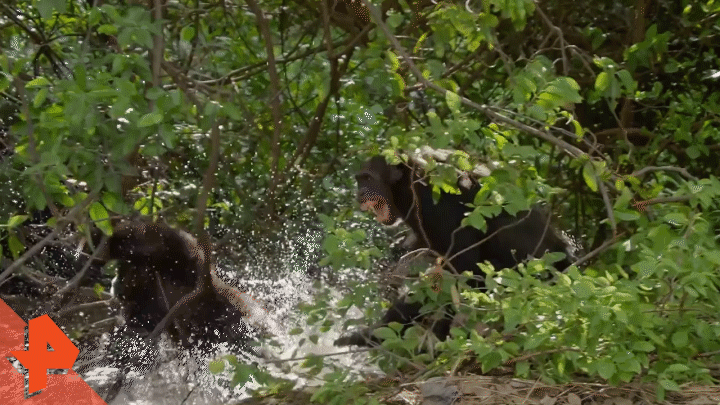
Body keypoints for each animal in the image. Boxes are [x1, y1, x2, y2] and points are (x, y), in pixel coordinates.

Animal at [334, 155, 572, 348]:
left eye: (367, 178)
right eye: (359, 179)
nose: (359, 193)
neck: (403, 185)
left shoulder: (434, 205)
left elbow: (460, 267)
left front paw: (377, 331)